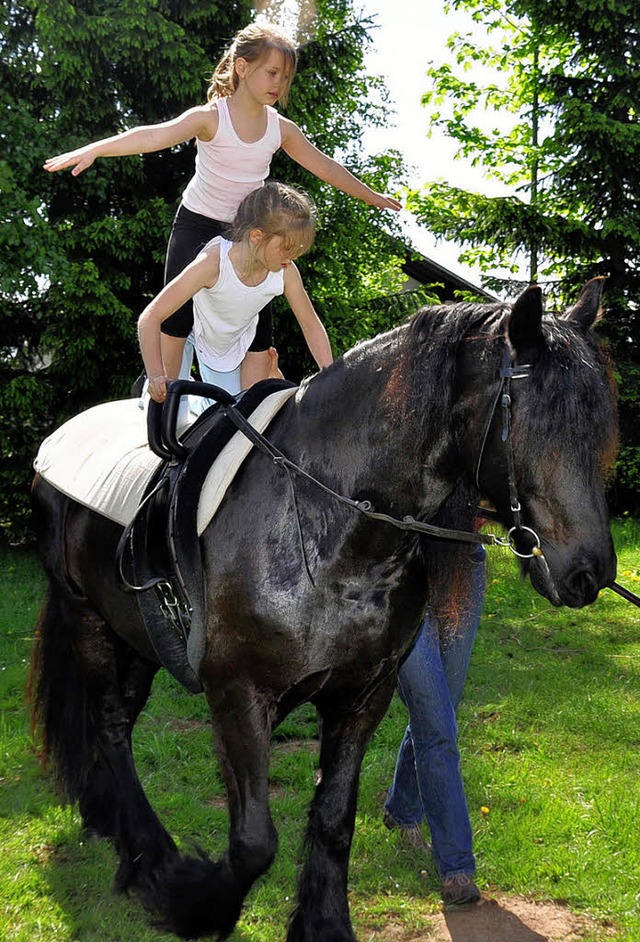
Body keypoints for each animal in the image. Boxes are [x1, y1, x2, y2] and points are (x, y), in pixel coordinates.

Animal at [31, 280, 620, 942]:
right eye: (532, 419)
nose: (590, 572)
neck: (331, 523)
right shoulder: (239, 695)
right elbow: (254, 843)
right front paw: (189, 901)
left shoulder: (364, 697)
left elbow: (335, 821)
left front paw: (325, 924)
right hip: (86, 617)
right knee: (109, 727)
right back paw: (148, 859)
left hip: (134, 637)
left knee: (120, 725)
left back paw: (111, 825)